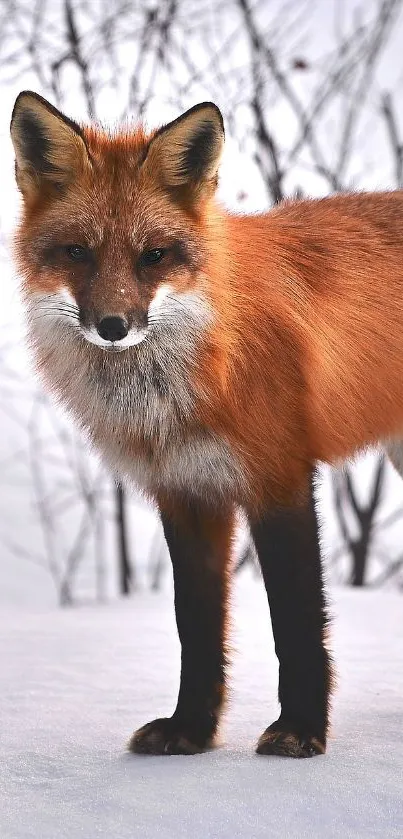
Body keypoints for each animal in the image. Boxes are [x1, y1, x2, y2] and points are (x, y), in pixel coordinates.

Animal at [9, 92, 403, 760]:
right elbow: (194, 627)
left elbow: (296, 621)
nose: (113, 326)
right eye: (77, 252)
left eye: (153, 255)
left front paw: (300, 730)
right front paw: (190, 729)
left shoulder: (279, 478)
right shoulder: (186, 491)